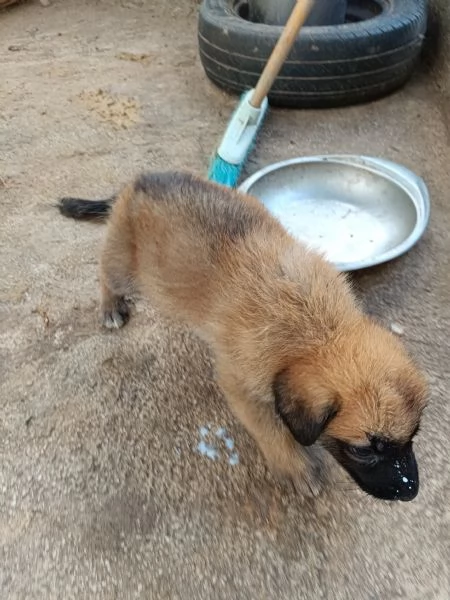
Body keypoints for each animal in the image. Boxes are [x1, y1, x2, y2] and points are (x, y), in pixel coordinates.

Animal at [59, 170, 428, 502]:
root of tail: (138, 181)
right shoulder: (242, 386)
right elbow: (271, 430)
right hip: (124, 267)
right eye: (365, 450)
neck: (321, 329)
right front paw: (295, 467)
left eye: (413, 436)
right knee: (105, 273)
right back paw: (110, 306)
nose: (410, 492)